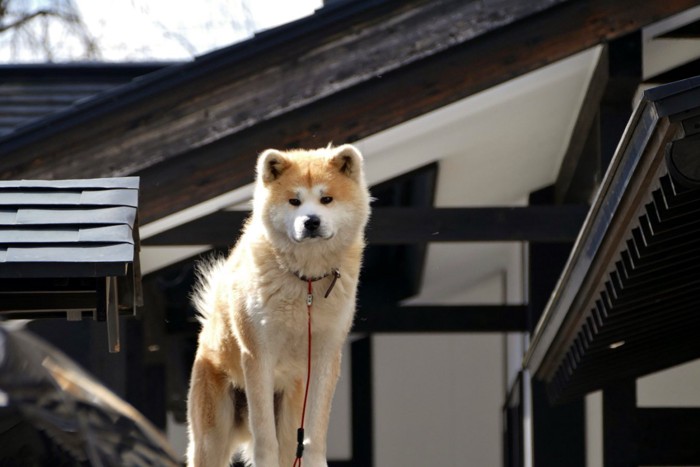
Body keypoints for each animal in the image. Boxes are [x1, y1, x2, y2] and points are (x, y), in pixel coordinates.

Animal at [186, 144, 372, 466]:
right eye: (294, 201)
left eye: (326, 199)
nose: (311, 221)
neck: (305, 283)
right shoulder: (258, 355)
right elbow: (265, 439)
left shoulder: (325, 357)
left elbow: (314, 436)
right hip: (212, 435)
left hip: (289, 416)